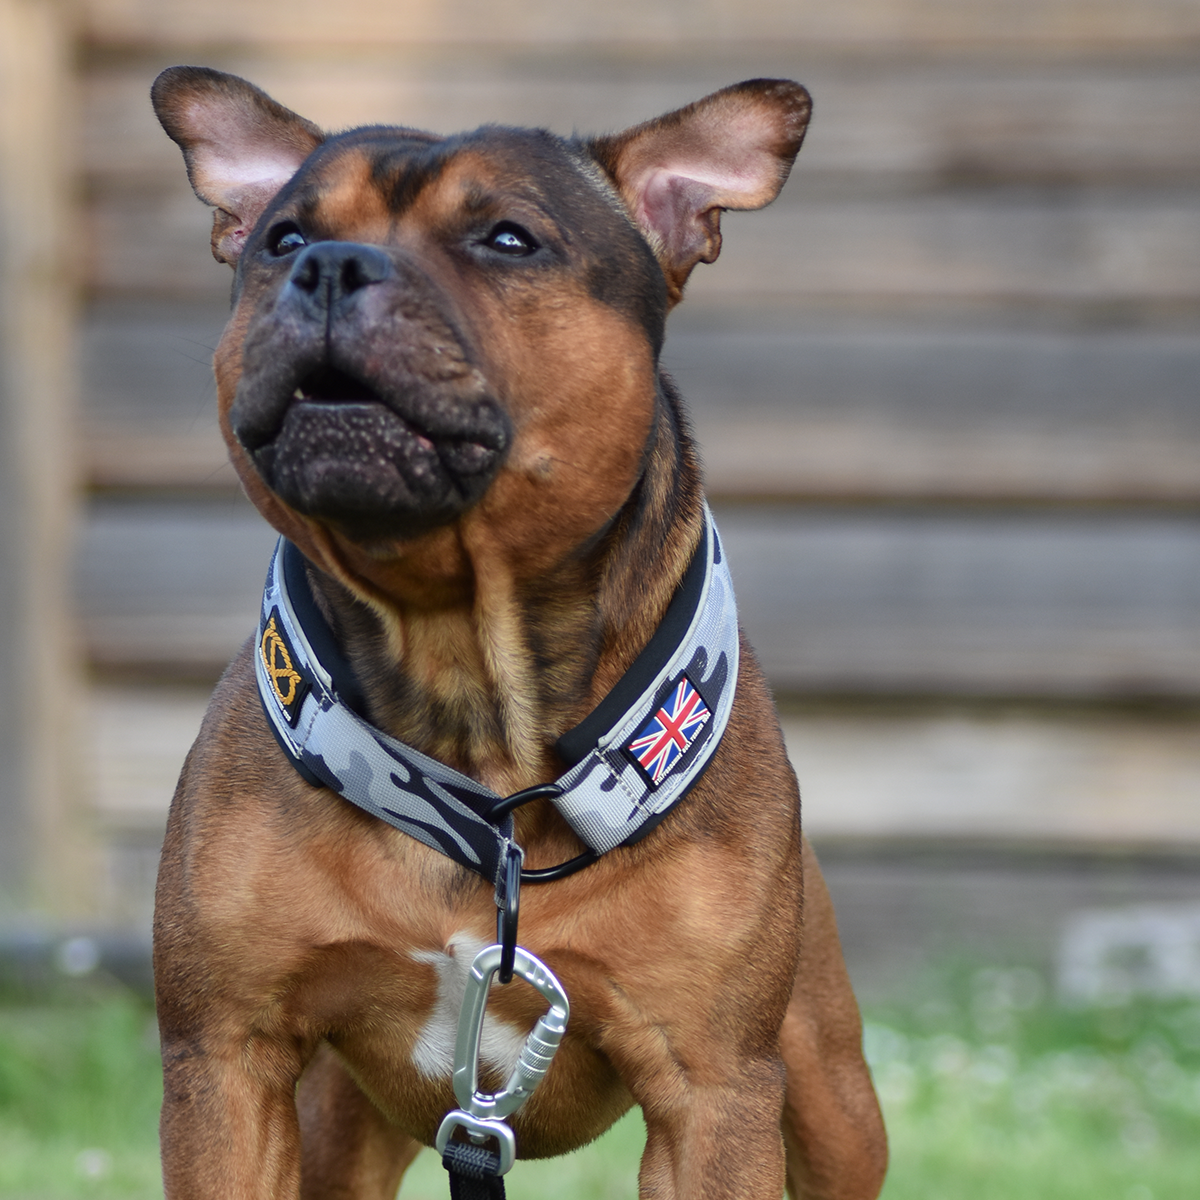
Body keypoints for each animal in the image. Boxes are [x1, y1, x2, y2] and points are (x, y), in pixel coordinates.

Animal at [150, 68, 888, 1200]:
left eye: (508, 239)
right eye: (282, 238)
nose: (328, 266)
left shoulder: (713, 1094)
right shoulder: (227, 1060)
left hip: (833, 1098)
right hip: (335, 1123)